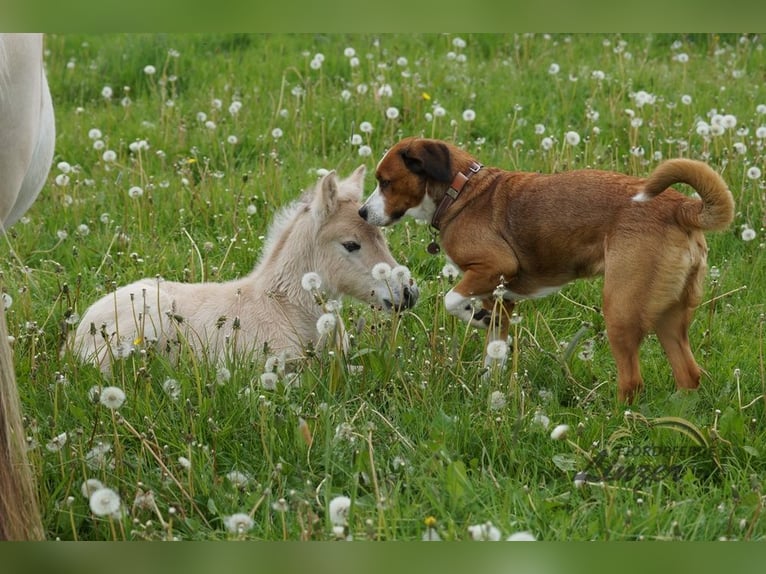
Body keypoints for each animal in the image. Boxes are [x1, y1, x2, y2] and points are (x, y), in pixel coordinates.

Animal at [362, 137, 736, 402]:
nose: (363, 213)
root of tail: (682, 207)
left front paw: (474, 317)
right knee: (688, 374)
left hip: (620, 310)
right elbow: (494, 352)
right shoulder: (501, 297)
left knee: (632, 381)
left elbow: (452, 299)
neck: (461, 190)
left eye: (385, 182)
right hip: (669, 317)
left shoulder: (495, 267)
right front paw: (489, 389)